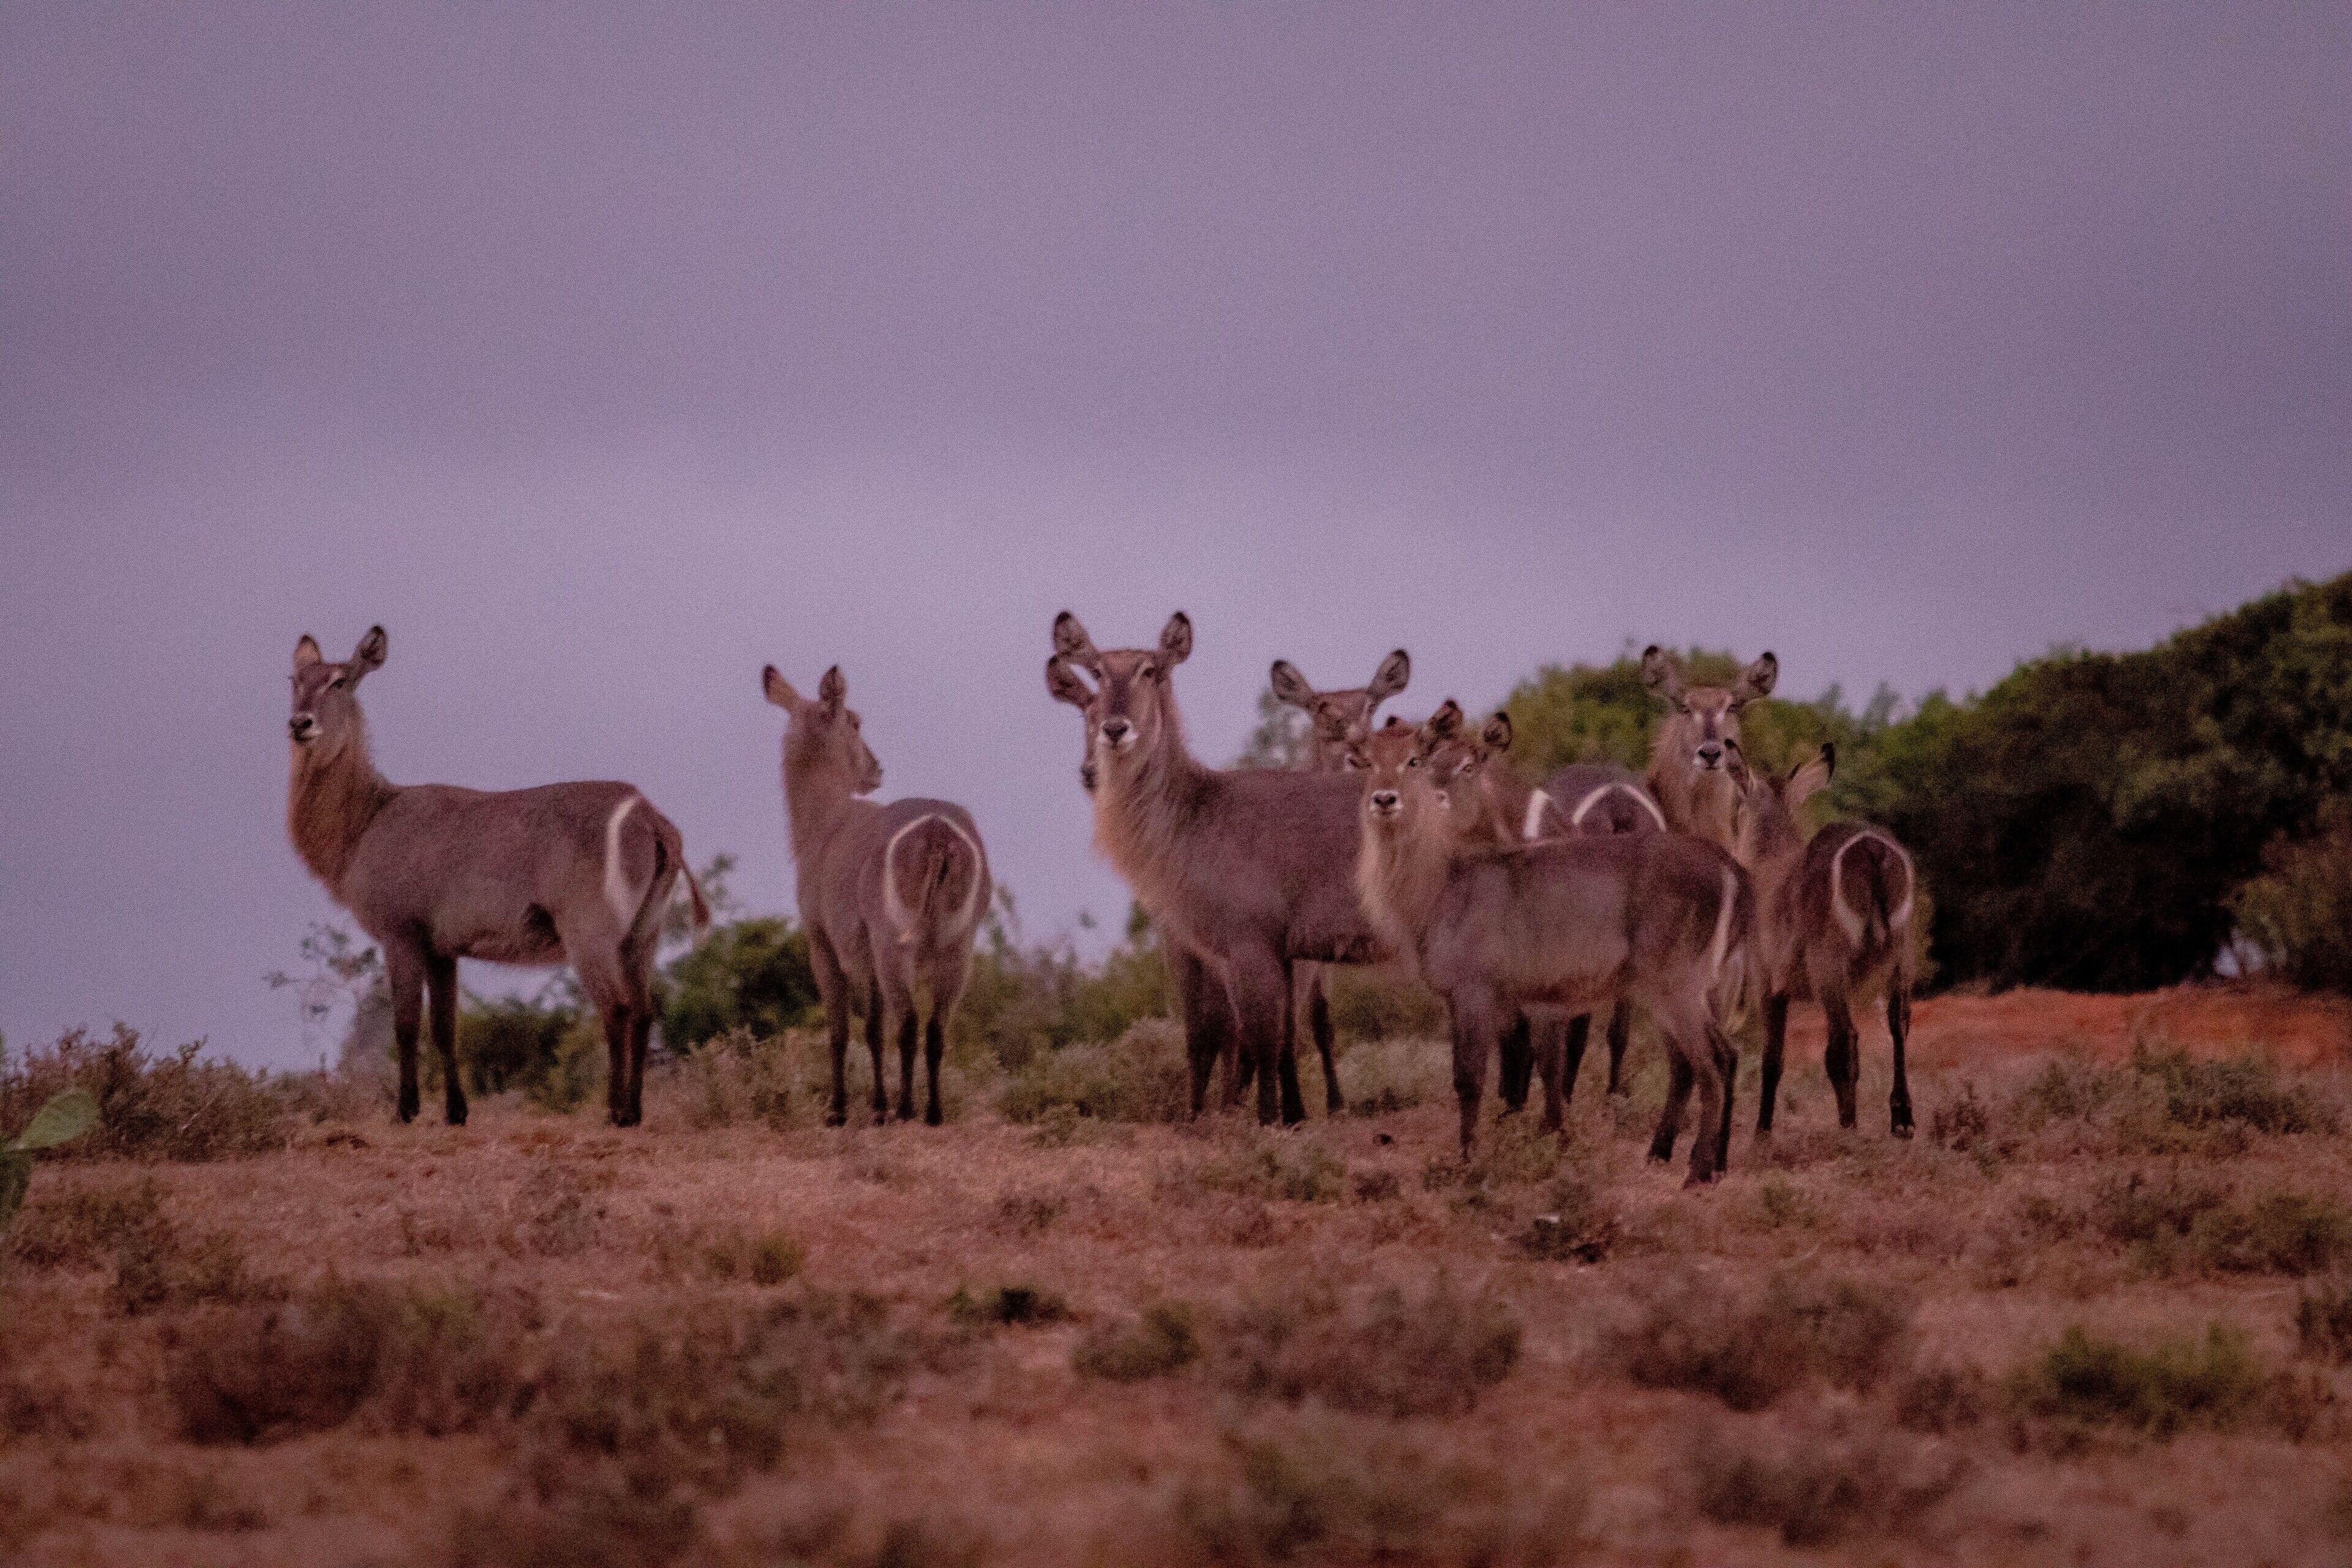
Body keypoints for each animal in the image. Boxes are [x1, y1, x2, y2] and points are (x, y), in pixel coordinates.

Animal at [284, 626, 709, 1128]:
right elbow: (445, 1028)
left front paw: (406, 1111)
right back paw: (636, 1110)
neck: (367, 820)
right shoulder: (442, 948)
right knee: (644, 1011)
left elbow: (405, 1025)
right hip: (643, 934)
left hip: (590, 933)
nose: (300, 723)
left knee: (618, 1010)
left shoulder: (400, 933)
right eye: (294, 679)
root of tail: (651, 816)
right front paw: (456, 1112)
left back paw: (616, 1112)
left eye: (341, 680)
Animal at [763, 663, 990, 1127]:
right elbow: (873, 1027)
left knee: (907, 1025)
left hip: (894, 945)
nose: (877, 769)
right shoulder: (868, 954)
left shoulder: (823, 942)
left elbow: (842, 1030)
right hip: (958, 947)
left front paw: (840, 1110)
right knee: (936, 1029)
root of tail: (938, 832)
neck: (826, 824)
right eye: (854, 722)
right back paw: (933, 1112)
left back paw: (904, 1109)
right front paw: (876, 1105)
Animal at [1048, 611, 1387, 1126]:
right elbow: (1240, 1038)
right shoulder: (1234, 954)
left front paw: (1267, 1123)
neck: (1199, 811)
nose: (1115, 728)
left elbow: (1263, 1041)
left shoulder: (1253, 945)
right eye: (1098, 671)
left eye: (1150, 670)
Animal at [1350, 705, 1751, 1184]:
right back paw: (1682, 1159)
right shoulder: (1473, 999)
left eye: (1413, 761)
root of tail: (1731, 868)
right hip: (1678, 990)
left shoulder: (1476, 991)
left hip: (1678, 985)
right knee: (1711, 1058)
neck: (1441, 885)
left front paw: (1469, 1162)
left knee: (1712, 1063)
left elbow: (1472, 1079)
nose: (1385, 799)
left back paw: (1697, 1173)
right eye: (1366, 762)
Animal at [1725, 741, 1921, 1139]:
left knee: (1844, 1040)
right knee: (1898, 1023)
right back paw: (1902, 1121)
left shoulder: (1769, 985)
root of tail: (1872, 849)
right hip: (1902, 957)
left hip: (1828, 966)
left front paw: (1761, 1132)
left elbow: (1772, 1059)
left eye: (1737, 804)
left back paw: (1849, 1126)